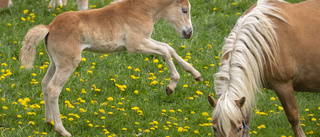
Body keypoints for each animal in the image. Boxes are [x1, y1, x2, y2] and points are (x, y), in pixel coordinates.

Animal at [19, 0, 202, 135]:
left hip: (54, 62)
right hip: (68, 63)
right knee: (53, 88)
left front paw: (196, 74)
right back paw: (62, 130)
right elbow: (165, 51)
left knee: (44, 83)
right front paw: (171, 85)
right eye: (184, 10)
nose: (189, 33)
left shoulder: (145, 39)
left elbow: (169, 48)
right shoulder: (135, 45)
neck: (141, 10)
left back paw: (48, 121)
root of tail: (49, 27)